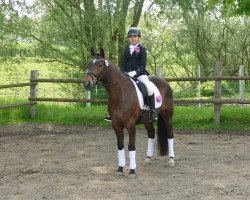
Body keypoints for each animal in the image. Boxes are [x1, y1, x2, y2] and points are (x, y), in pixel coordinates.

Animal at [83, 48, 175, 178]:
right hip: (147, 119)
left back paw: (171, 160)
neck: (120, 94)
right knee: (151, 134)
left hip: (168, 115)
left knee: (170, 134)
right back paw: (148, 159)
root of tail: (165, 82)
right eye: (89, 63)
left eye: (100, 65)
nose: (86, 83)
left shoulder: (130, 124)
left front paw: (132, 171)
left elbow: (131, 146)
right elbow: (120, 146)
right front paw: (120, 168)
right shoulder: (116, 124)